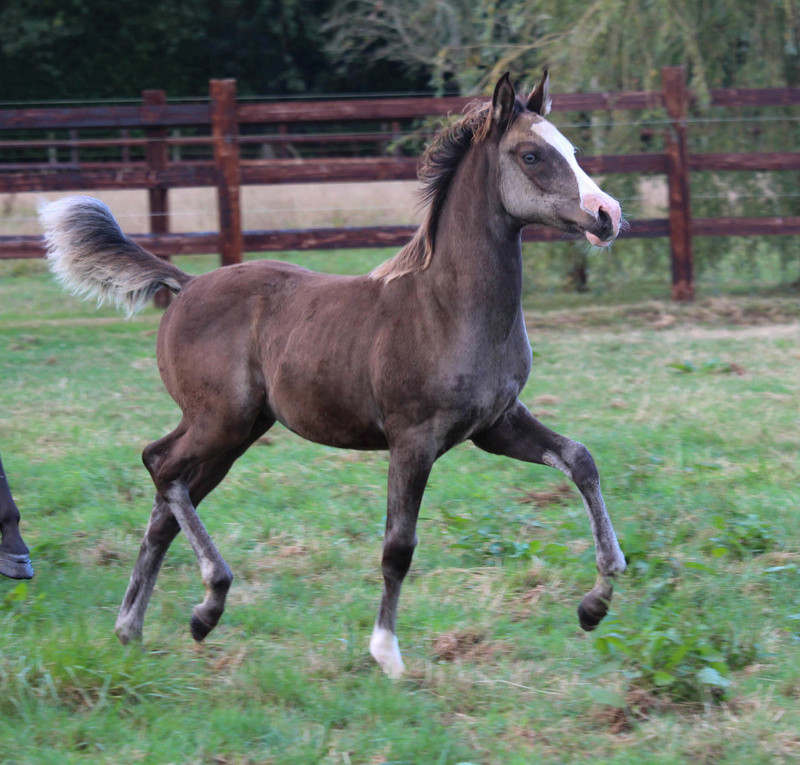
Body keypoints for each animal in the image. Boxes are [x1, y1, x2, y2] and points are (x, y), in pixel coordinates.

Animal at [42, 71, 624, 676]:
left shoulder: (496, 425)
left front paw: (596, 603)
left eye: (573, 151)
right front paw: (387, 653)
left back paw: (138, 628)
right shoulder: (413, 439)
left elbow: (580, 459)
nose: (608, 214)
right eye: (531, 155)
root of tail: (187, 284)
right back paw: (208, 598)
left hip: (235, 432)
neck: (450, 307)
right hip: (219, 421)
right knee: (158, 464)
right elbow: (398, 548)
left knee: (165, 502)